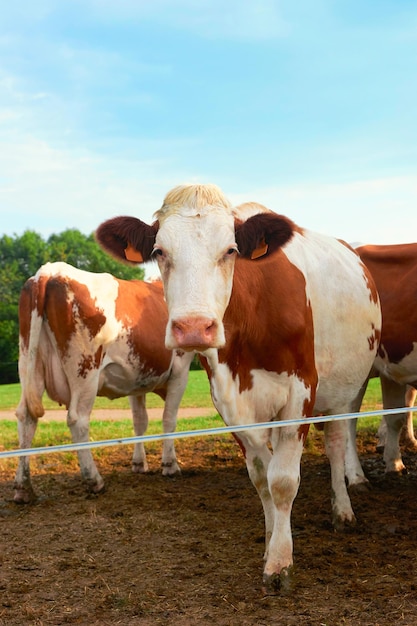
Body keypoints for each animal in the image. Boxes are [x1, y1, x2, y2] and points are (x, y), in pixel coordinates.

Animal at [14, 260, 193, 502]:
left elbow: (140, 420)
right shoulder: (181, 370)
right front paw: (170, 465)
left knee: (26, 418)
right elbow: (169, 419)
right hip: (85, 370)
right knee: (77, 419)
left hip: (29, 365)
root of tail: (51, 271)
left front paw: (139, 464)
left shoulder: (138, 378)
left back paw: (23, 488)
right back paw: (94, 480)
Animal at [96, 183, 382, 592]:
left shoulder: (301, 392)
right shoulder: (227, 399)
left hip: (343, 389)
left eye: (230, 250)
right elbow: (262, 476)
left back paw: (343, 511)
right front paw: (271, 542)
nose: (194, 328)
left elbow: (283, 480)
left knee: (336, 444)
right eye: (159, 252)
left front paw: (280, 563)